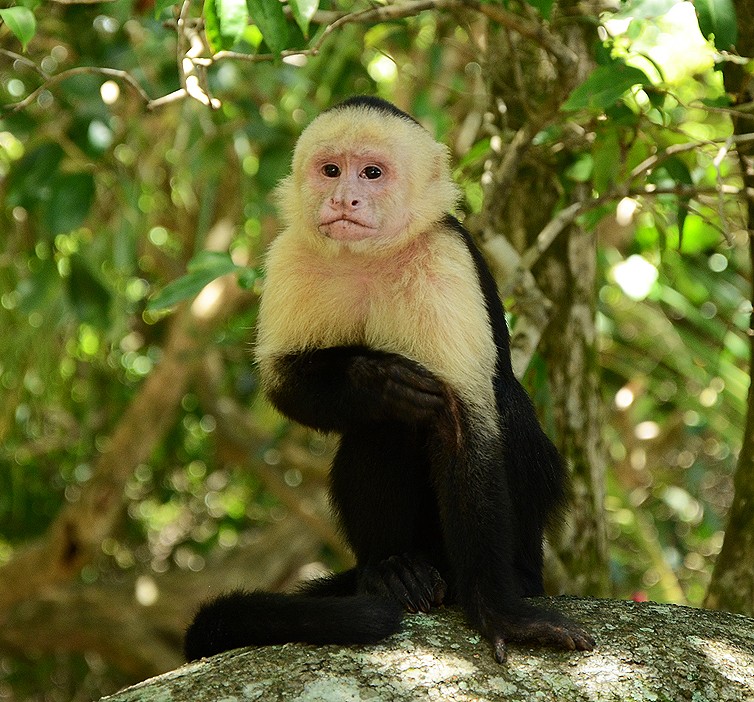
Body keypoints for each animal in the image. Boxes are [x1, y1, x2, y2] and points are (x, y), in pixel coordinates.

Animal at [184, 95, 592, 664]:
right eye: (331, 170)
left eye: (372, 173)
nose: (344, 198)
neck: (370, 258)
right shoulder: (289, 256)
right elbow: (287, 383)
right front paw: (373, 378)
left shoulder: (445, 258)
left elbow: (463, 423)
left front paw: (498, 611)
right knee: (381, 428)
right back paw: (391, 569)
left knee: (504, 409)